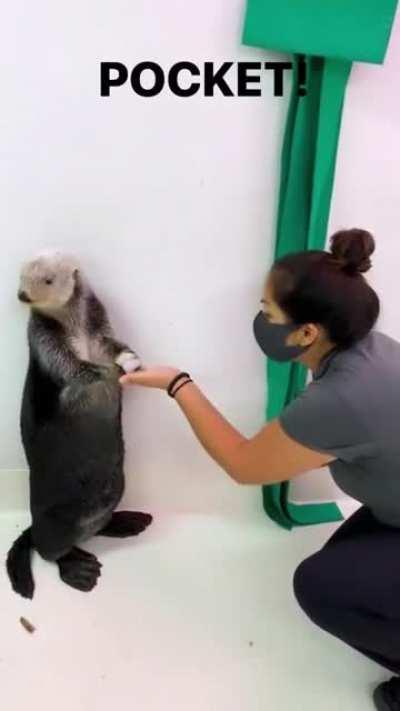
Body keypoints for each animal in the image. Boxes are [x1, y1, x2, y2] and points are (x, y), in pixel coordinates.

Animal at [7, 251, 152, 599]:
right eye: (21, 277)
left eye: (47, 280)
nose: (22, 295)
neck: (76, 327)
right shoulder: (44, 340)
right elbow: (72, 366)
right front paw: (110, 373)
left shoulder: (100, 328)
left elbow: (114, 345)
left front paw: (131, 362)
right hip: (54, 524)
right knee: (52, 553)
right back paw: (80, 569)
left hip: (115, 493)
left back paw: (127, 522)